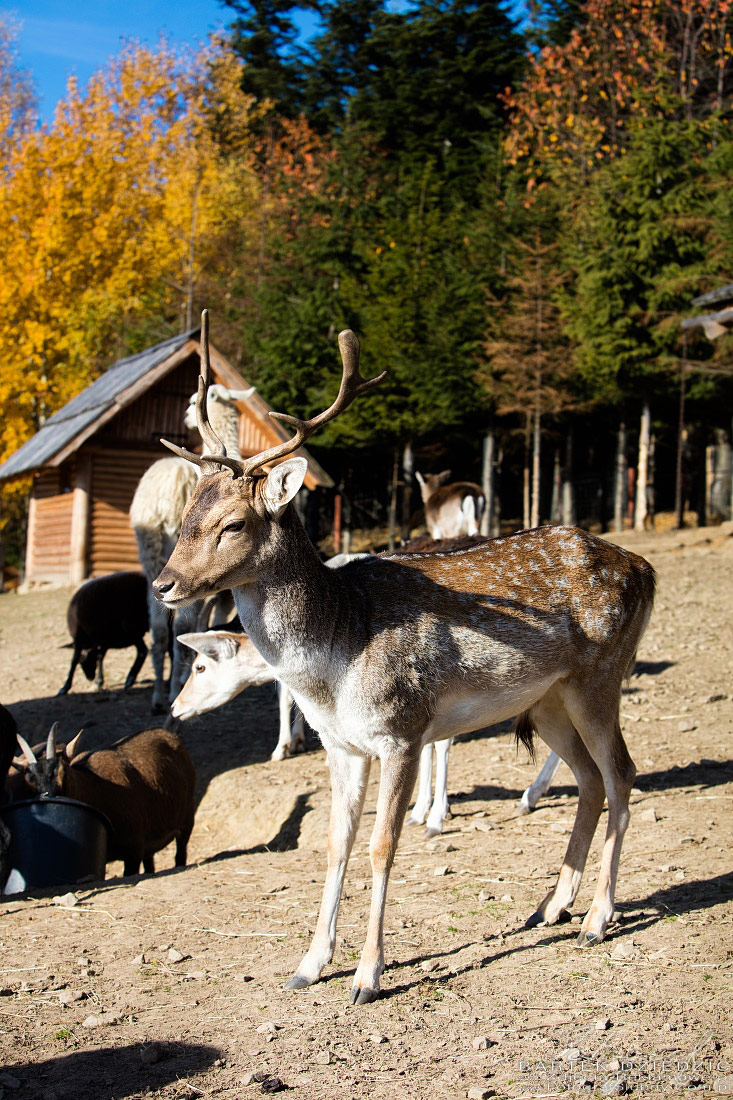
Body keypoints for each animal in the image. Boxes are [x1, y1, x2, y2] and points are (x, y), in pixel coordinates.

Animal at [17, 721, 193, 875]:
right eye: (29, 780)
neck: (94, 786)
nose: (47, 797)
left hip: (186, 821)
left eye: (61, 772)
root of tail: (170, 736)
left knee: (181, 852)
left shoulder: (133, 851)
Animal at [150, 312, 651, 1007]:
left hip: (600, 677)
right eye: (187, 514)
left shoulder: (402, 729)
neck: (333, 664)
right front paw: (309, 964)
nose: (163, 584)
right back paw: (551, 907)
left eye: (232, 524)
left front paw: (367, 976)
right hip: (548, 699)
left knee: (623, 773)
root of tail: (646, 569)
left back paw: (598, 919)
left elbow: (382, 846)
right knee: (591, 779)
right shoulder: (342, 743)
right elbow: (334, 844)